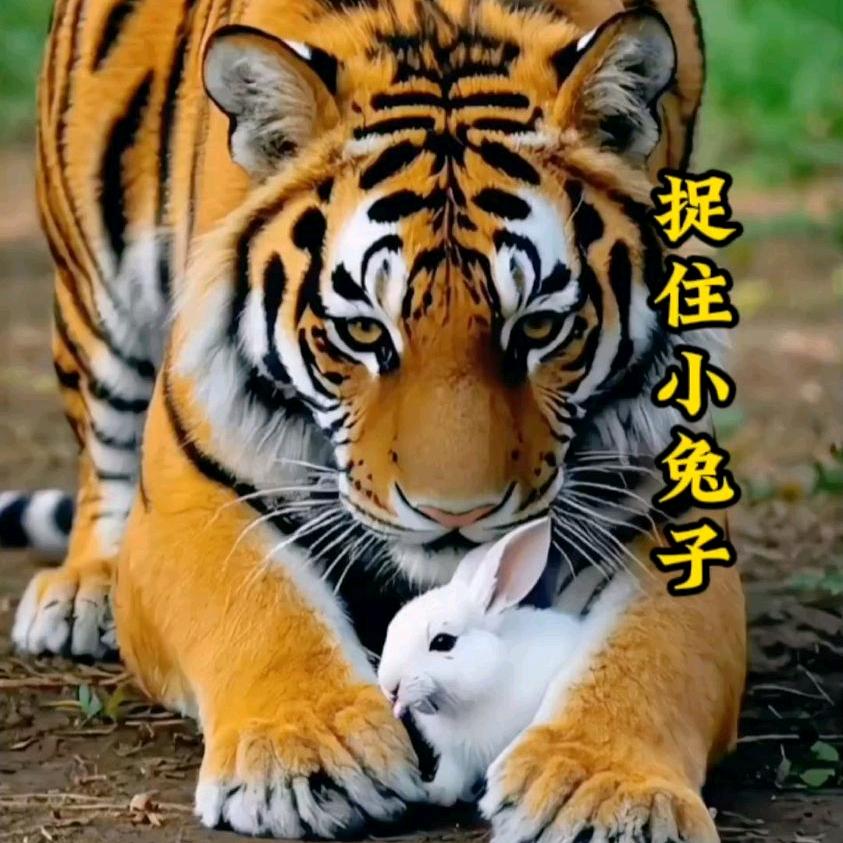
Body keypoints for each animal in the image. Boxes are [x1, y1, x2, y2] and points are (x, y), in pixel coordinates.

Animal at [10, 0, 745, 839]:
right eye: (364, 331)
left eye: (536, 327)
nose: (454, 516)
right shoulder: (191, 483)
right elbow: (257, 608)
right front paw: (308, 755)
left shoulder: (670, 505)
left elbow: (651, 653)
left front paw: (601, 788)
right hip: (93, 288)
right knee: (105, 455)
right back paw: (82, 591)